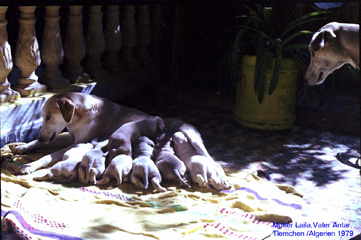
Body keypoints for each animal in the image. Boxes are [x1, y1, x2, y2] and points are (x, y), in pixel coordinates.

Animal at [12, 92, 148, 174]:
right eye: (43, 116)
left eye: (49, 117)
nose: (41, 138)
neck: (79, 115)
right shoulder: (71, 137)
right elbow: (36, 142)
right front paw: (24, 146)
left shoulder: (78, 142)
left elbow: (49, 155)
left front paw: (29, 165)